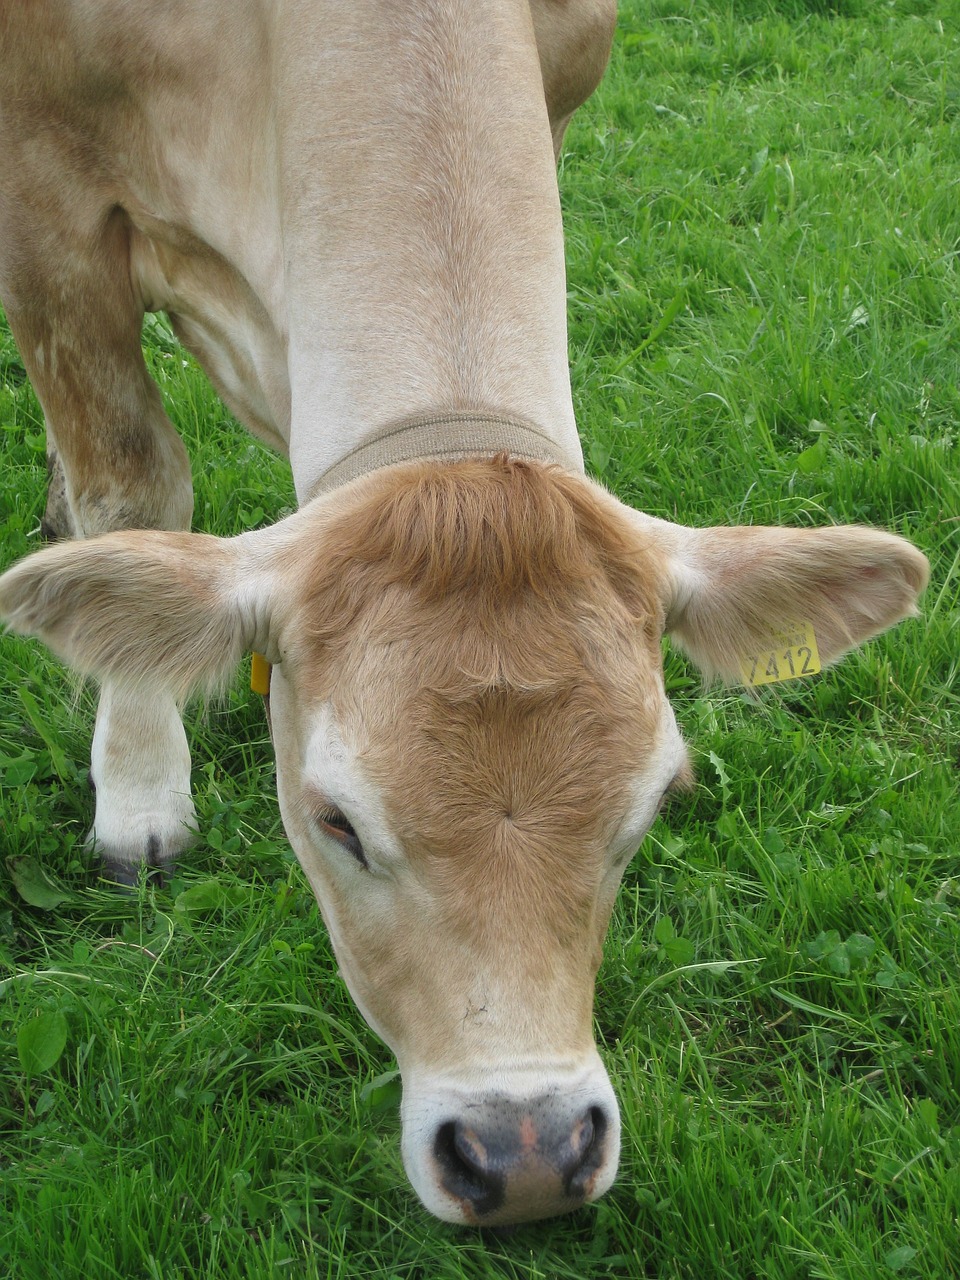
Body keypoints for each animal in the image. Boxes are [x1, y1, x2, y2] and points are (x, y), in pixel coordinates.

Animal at [1, 0, 931, 1223]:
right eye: (335, 821)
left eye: (652, 805)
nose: (524, 1153)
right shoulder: (45, 204)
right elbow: (135, 484)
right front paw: (140, 795)